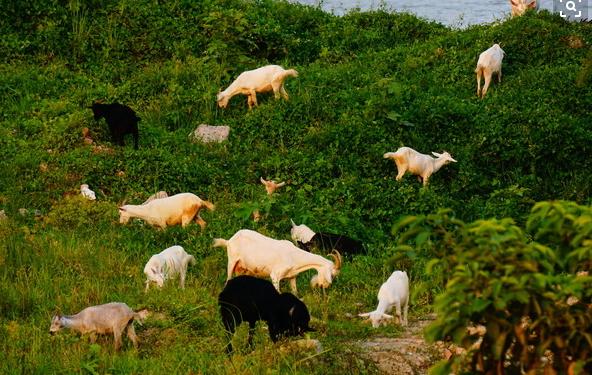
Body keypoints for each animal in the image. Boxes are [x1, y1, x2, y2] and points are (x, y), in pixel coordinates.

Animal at [213, 229, 342, 296]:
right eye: (332, 274)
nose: (324, 287)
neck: (294, 256)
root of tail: (229, 240)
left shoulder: (292, 277)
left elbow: (295, 292)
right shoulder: (275, 275)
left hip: (244, 269)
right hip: (232, 260)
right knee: (228, 278)